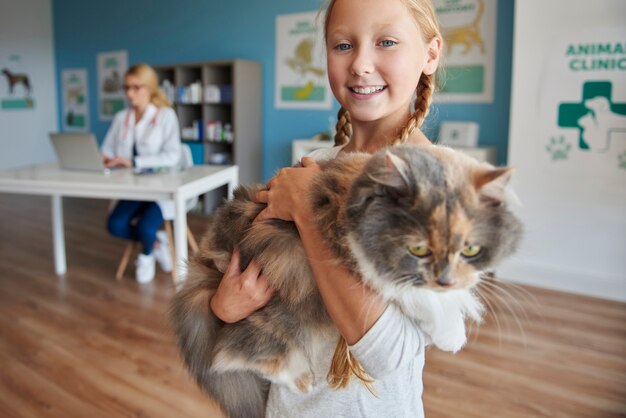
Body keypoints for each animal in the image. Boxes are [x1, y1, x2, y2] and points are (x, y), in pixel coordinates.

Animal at [169, 143, 520, 418]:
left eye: (468, 246)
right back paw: (302, 380)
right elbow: (420, 295)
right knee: (231, 354)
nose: (446, 274)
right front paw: (452, 333)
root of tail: (205, 263)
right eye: (420, 245)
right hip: (275, 307)